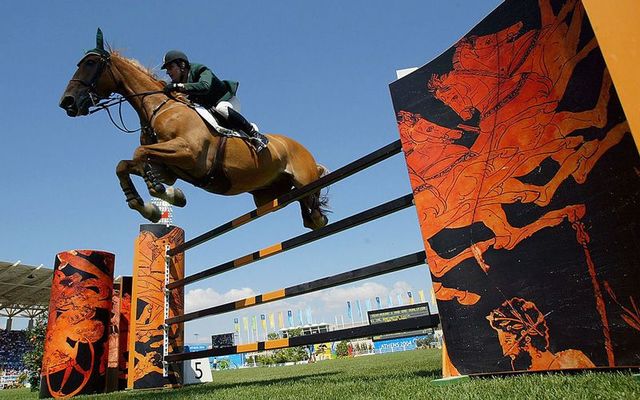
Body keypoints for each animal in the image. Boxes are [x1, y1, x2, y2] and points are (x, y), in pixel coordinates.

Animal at [59, 33, 328, 231]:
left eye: (90, 63)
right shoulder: (169, 167)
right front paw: (153, 205)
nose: (66, 102)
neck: (158, 108)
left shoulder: (189, 153)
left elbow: (139, 153)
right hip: (269, 194)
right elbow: (124, 165)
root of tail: (303, 149)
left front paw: (160, 192)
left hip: (304, 182)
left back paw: (259, 139)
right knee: (309, 217)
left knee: (315, 214)